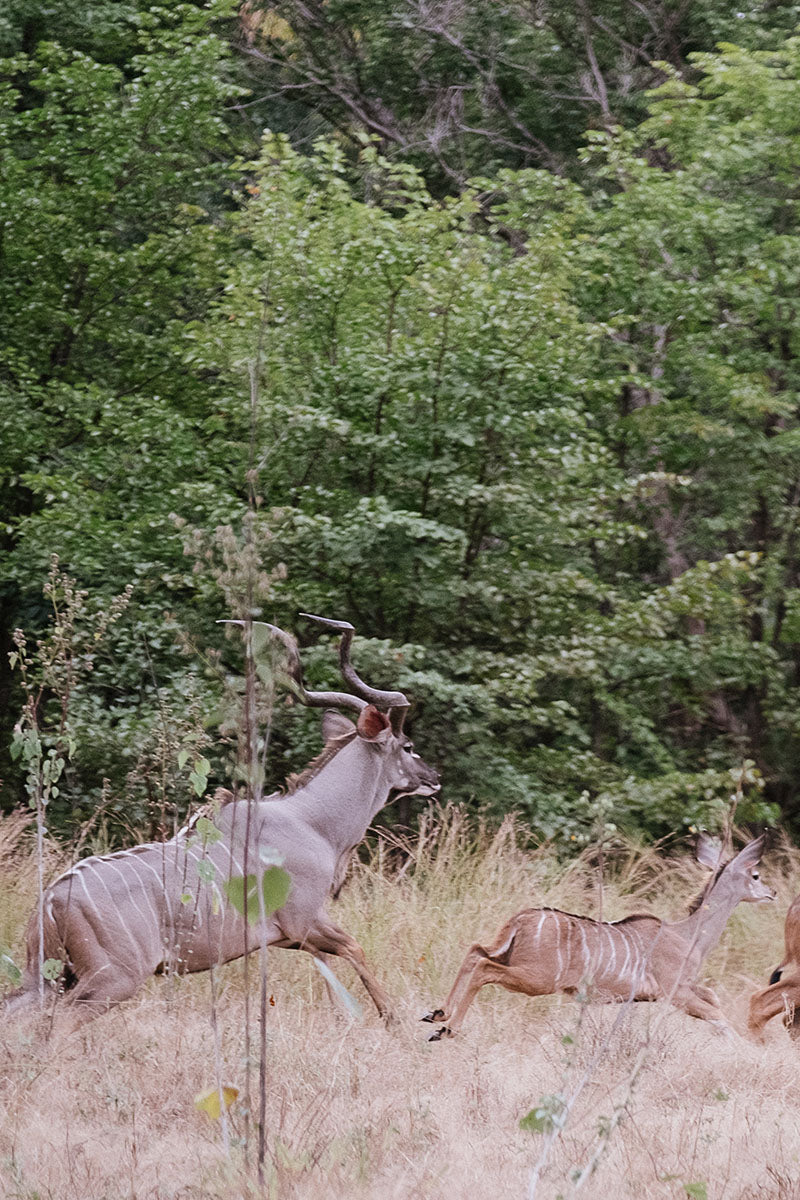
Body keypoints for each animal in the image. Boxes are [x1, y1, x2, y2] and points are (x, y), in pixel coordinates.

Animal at [3, 615, 439, 1027]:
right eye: (408, 746)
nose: (433, 778)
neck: (312, 822)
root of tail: (51, 900)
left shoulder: (292, 938)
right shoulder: (305, 922)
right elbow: (355, 949)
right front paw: (393, 1019)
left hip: (47, 980)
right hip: (112, 980)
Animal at [423, 834, 773, 1039]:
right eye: (756, 875)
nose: (773, 893)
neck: (688, 935)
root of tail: (520, 919)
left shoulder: (684, 989)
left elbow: (715, 1000)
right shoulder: (675, 993)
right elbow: (718, 1015)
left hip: (508, 956)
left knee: (475, 952)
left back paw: (437, 1014)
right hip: (537, 979)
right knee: (484, 968)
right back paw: (447, 1029)